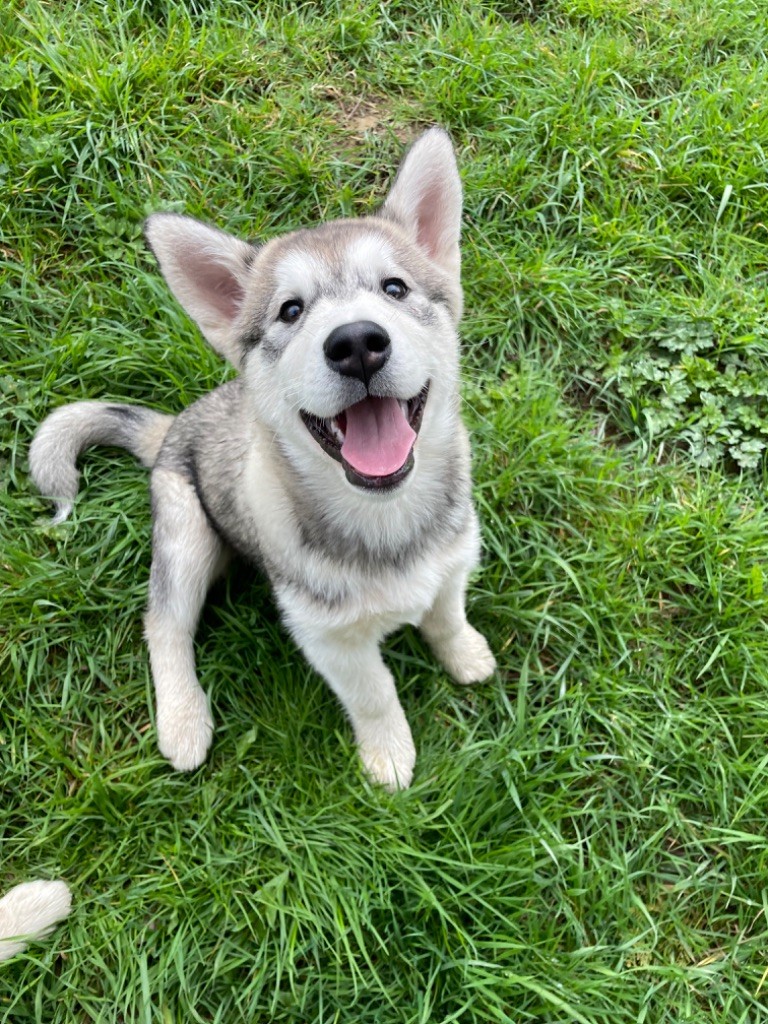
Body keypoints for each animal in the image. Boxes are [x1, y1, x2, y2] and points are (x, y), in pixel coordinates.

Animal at [30, 125, 495, 782]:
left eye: (395, 288)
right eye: (291, 310)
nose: (357, 343)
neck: (385, 518)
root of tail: (172, 426)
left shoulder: (452, 564)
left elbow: (448, 615)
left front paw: (466, 654)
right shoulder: (329, 640)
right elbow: (375, 694)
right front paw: (388, 755)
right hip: (186, 533)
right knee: (164, 624)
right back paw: (182, 721)